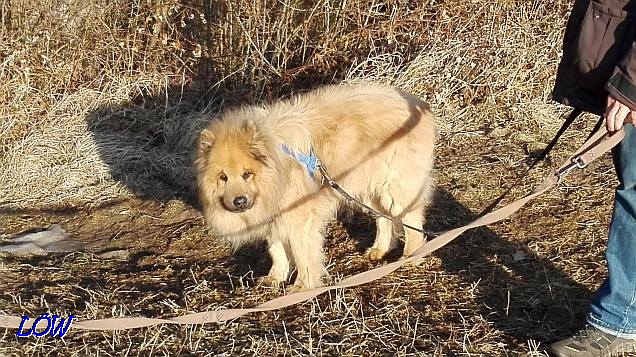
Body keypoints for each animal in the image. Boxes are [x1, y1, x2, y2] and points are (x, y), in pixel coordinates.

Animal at [194, 82, 438, 290]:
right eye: (223, 177)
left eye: (247, 174)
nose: (239, 201)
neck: (276, 167)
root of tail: (421, 106)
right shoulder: (275, 217)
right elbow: (276, 250)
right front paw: (275, 277)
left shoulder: (298, 219)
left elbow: (302, 254)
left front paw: (303, 285)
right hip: (367, 189)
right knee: (383, 219)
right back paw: (379, 249)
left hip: (393, 187)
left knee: (411, 221)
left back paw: (411, 255)